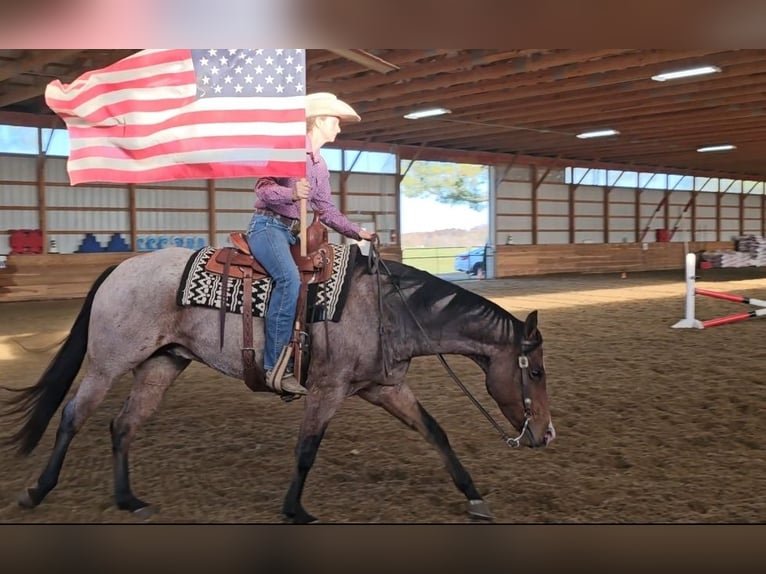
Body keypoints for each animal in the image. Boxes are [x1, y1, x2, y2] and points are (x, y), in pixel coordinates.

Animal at [0, 245, 552, 524]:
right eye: (537, 371)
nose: (545, 435)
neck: (388, 310)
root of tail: (120, 267)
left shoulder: (384, 388)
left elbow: (435, 432)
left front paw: (474, 496)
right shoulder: (328, 390)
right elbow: (307, 449)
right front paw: (295, 509)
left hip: (162, 364)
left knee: (122, 425)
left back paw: (129, 500)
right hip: (110, 362)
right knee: (74, 415)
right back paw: (37, 492)